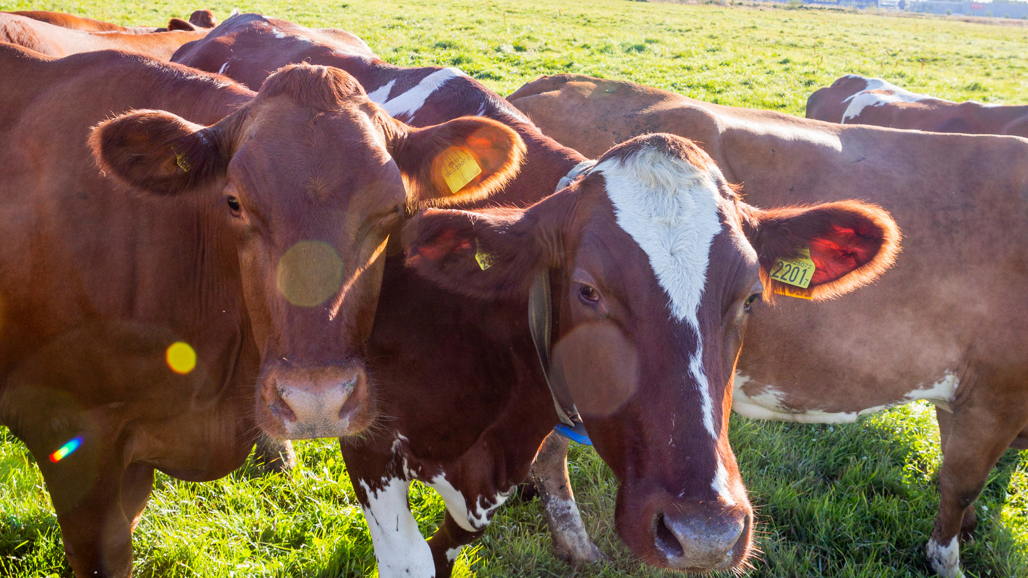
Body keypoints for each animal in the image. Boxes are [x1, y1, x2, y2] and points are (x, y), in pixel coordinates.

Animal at [169, 15, 900, 576]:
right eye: (588, 291)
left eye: (750, 297)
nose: (704, 535)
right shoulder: (370, 437)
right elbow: (408, 557)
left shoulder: (495, 465)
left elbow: (450, 544)